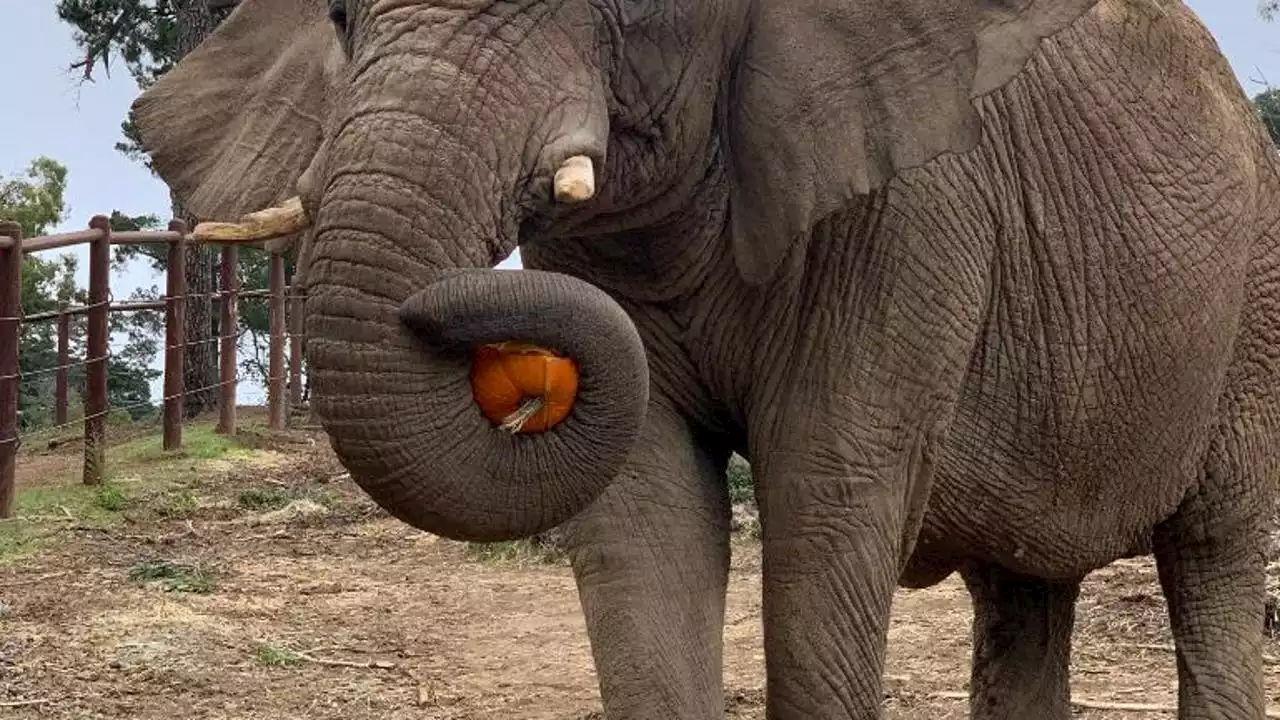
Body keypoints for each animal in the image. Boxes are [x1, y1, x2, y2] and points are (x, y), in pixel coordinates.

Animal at [127, 0, 1280, 712]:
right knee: (1022, 592)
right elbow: (642, 513)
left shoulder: (918, 210)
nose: (493, 349)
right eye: (338, 15)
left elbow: (827, 499)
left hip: (1251, 315)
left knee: (1213, 561)